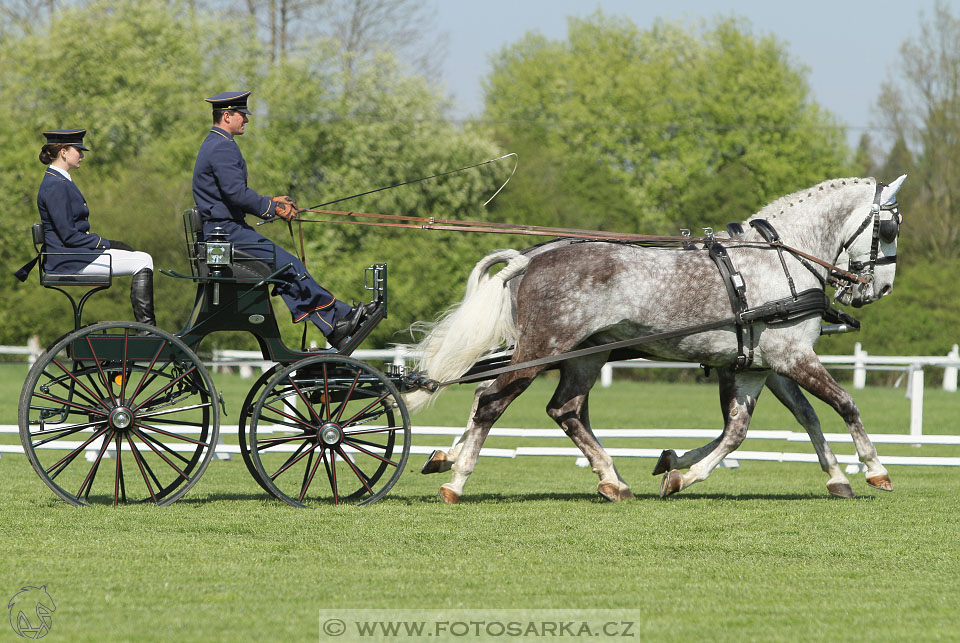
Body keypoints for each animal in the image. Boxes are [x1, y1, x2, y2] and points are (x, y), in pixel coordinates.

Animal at [406, 176, 908, 504]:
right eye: (888, 228)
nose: (880, 288)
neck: (780, 260)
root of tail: (529, 261)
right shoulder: (791, 358)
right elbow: (843, 405)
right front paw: (874, 469)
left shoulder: (758, 366)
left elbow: (754, 428)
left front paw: (676, 467)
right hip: (543, 349)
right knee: (491, 400)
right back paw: (457, 479)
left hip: (585, 357)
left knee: (564, 410)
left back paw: (612, 481)